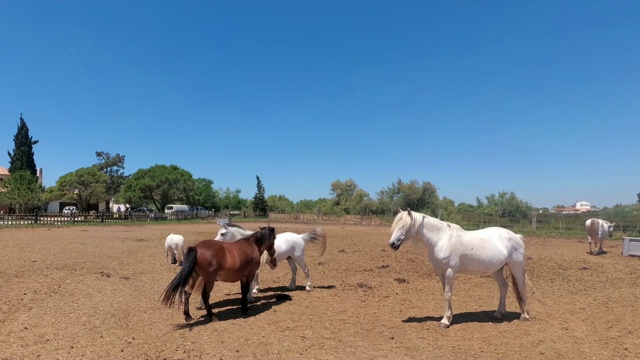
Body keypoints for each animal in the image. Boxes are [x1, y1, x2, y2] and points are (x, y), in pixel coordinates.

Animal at [384, 208, 528, 330]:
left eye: (404, 226)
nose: (392, 244)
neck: (441, 240)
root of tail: (516, 236)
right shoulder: (441, 272)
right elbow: (445, 293)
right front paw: (449, 317)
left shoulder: (450, 272)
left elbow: (448, 294)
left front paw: (444, 321)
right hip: (496, 270)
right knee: (503, 286)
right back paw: (498, 313)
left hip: (516, 266)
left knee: (521, 287)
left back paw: (524, 316)